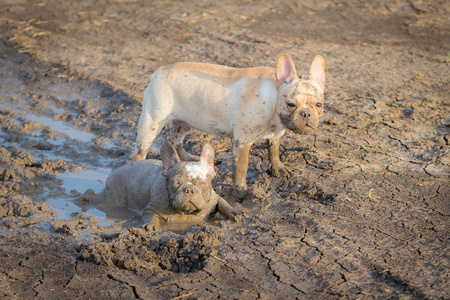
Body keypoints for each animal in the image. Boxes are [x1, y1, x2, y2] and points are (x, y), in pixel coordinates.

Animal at [77, 142, 246, 224]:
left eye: (202, 183)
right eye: (177, 183)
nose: (189, 190)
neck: (186, 212)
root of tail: (115, 171)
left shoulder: (214, 198)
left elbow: (223, 203)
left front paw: (235, 212)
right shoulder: (152, 208)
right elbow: (150, 216)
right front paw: (150, 226)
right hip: (111, 197)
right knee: (94, 198)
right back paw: (81, 199)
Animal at [132, 53, 326, 192]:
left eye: (319, 105)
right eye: (291, 104)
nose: (306, 113)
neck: (272, 100)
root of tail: (158, 72)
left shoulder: (275, 135)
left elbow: (274, 152)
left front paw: (278, 168)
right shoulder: (242, 142)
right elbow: (241, 166)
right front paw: (240, 189)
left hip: (183, 122)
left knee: (174, 139)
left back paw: (189, 159)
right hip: (151, 122)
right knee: (140, 151)